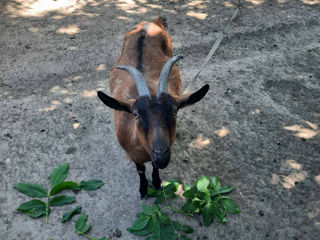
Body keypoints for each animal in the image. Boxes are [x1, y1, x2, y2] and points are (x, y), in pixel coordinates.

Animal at [97, 16, 208, 197]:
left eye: (175, 111)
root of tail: (152, 22)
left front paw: (156, 183)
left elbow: (155, 168)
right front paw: (143, 189)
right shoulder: (134, 155)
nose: (161, 155)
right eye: (135, 114)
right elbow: (140, 170)